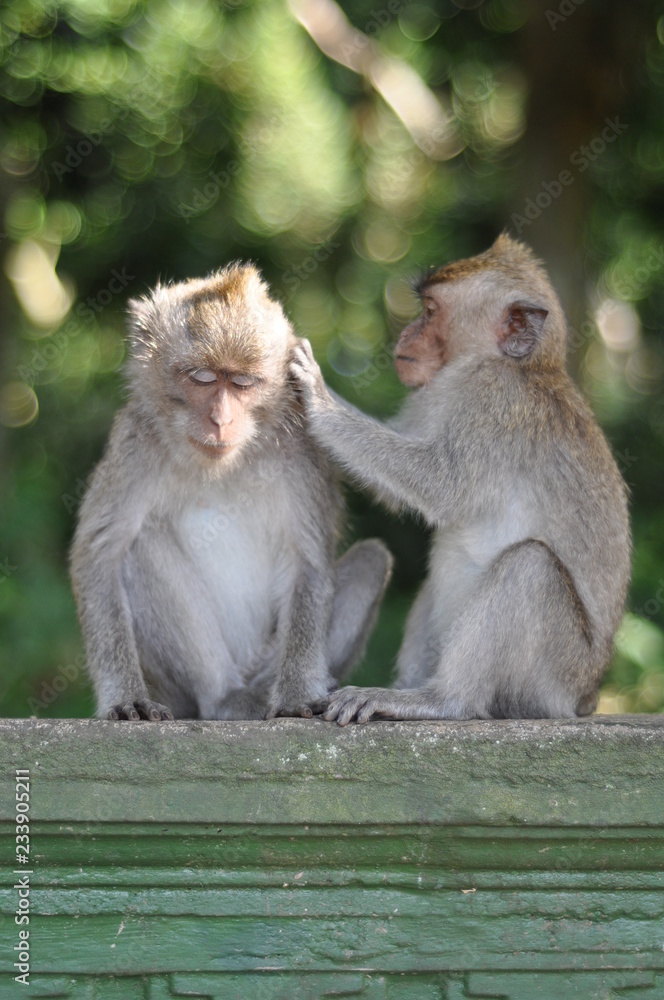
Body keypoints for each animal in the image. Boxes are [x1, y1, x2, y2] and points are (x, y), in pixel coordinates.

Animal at [70, 263, 392, 721]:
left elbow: (307, 560)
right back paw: (225, 697)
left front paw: (296, 693)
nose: (221, 420)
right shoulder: (135, 443)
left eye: (243, 383)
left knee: (370, 560)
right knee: (139, 546)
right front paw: (126, 697)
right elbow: (101, 553)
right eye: (202, 378)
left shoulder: (300, 450)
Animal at [290, 233, 631, 725]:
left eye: (431, 311)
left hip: (552, 679)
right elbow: (396, 491)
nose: (406, 334)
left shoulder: (494, 401)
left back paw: (440, 700)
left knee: (530, 566)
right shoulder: (436, 395)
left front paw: (317, 398)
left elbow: (439, 486)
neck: (516, 364)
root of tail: (586, 699)